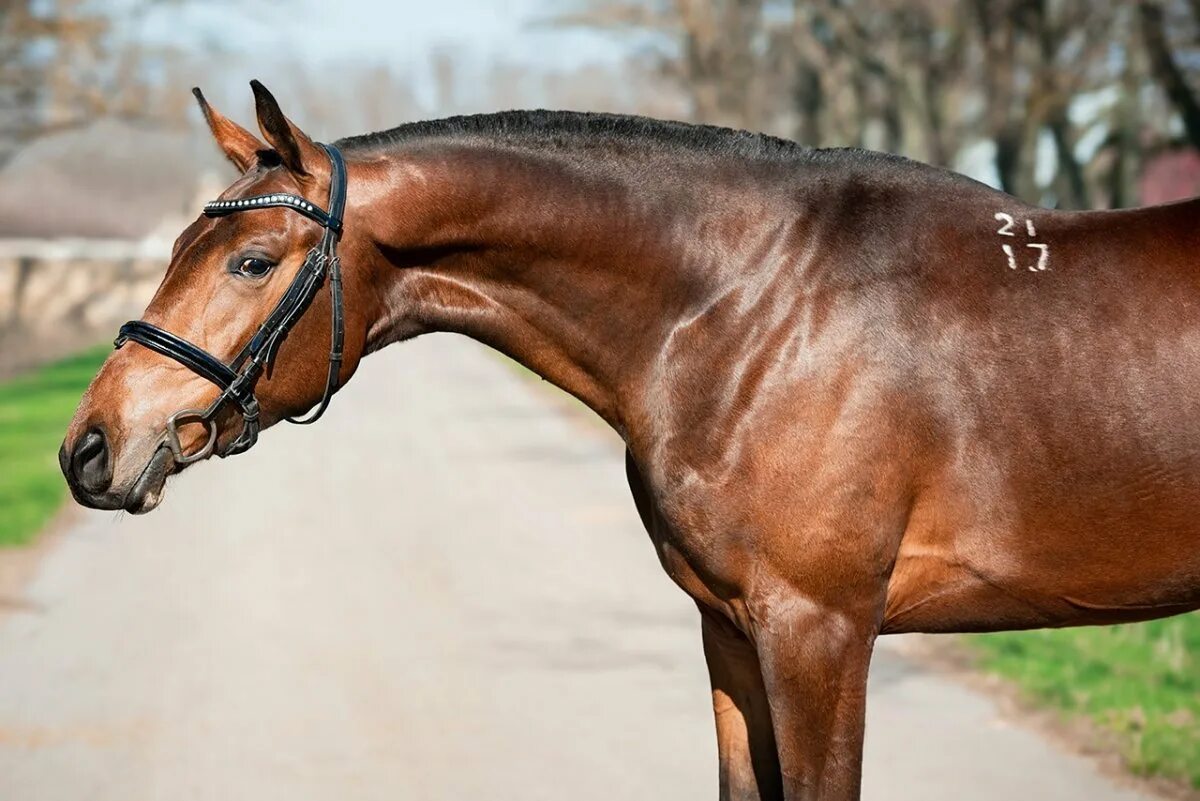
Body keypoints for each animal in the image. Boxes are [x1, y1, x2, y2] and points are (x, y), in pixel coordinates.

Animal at [63, 82, 1200, 801]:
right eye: (181, 242)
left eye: (252, 261)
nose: (91, 445)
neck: (752, 304)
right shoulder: (731, 632)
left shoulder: (821, 633)